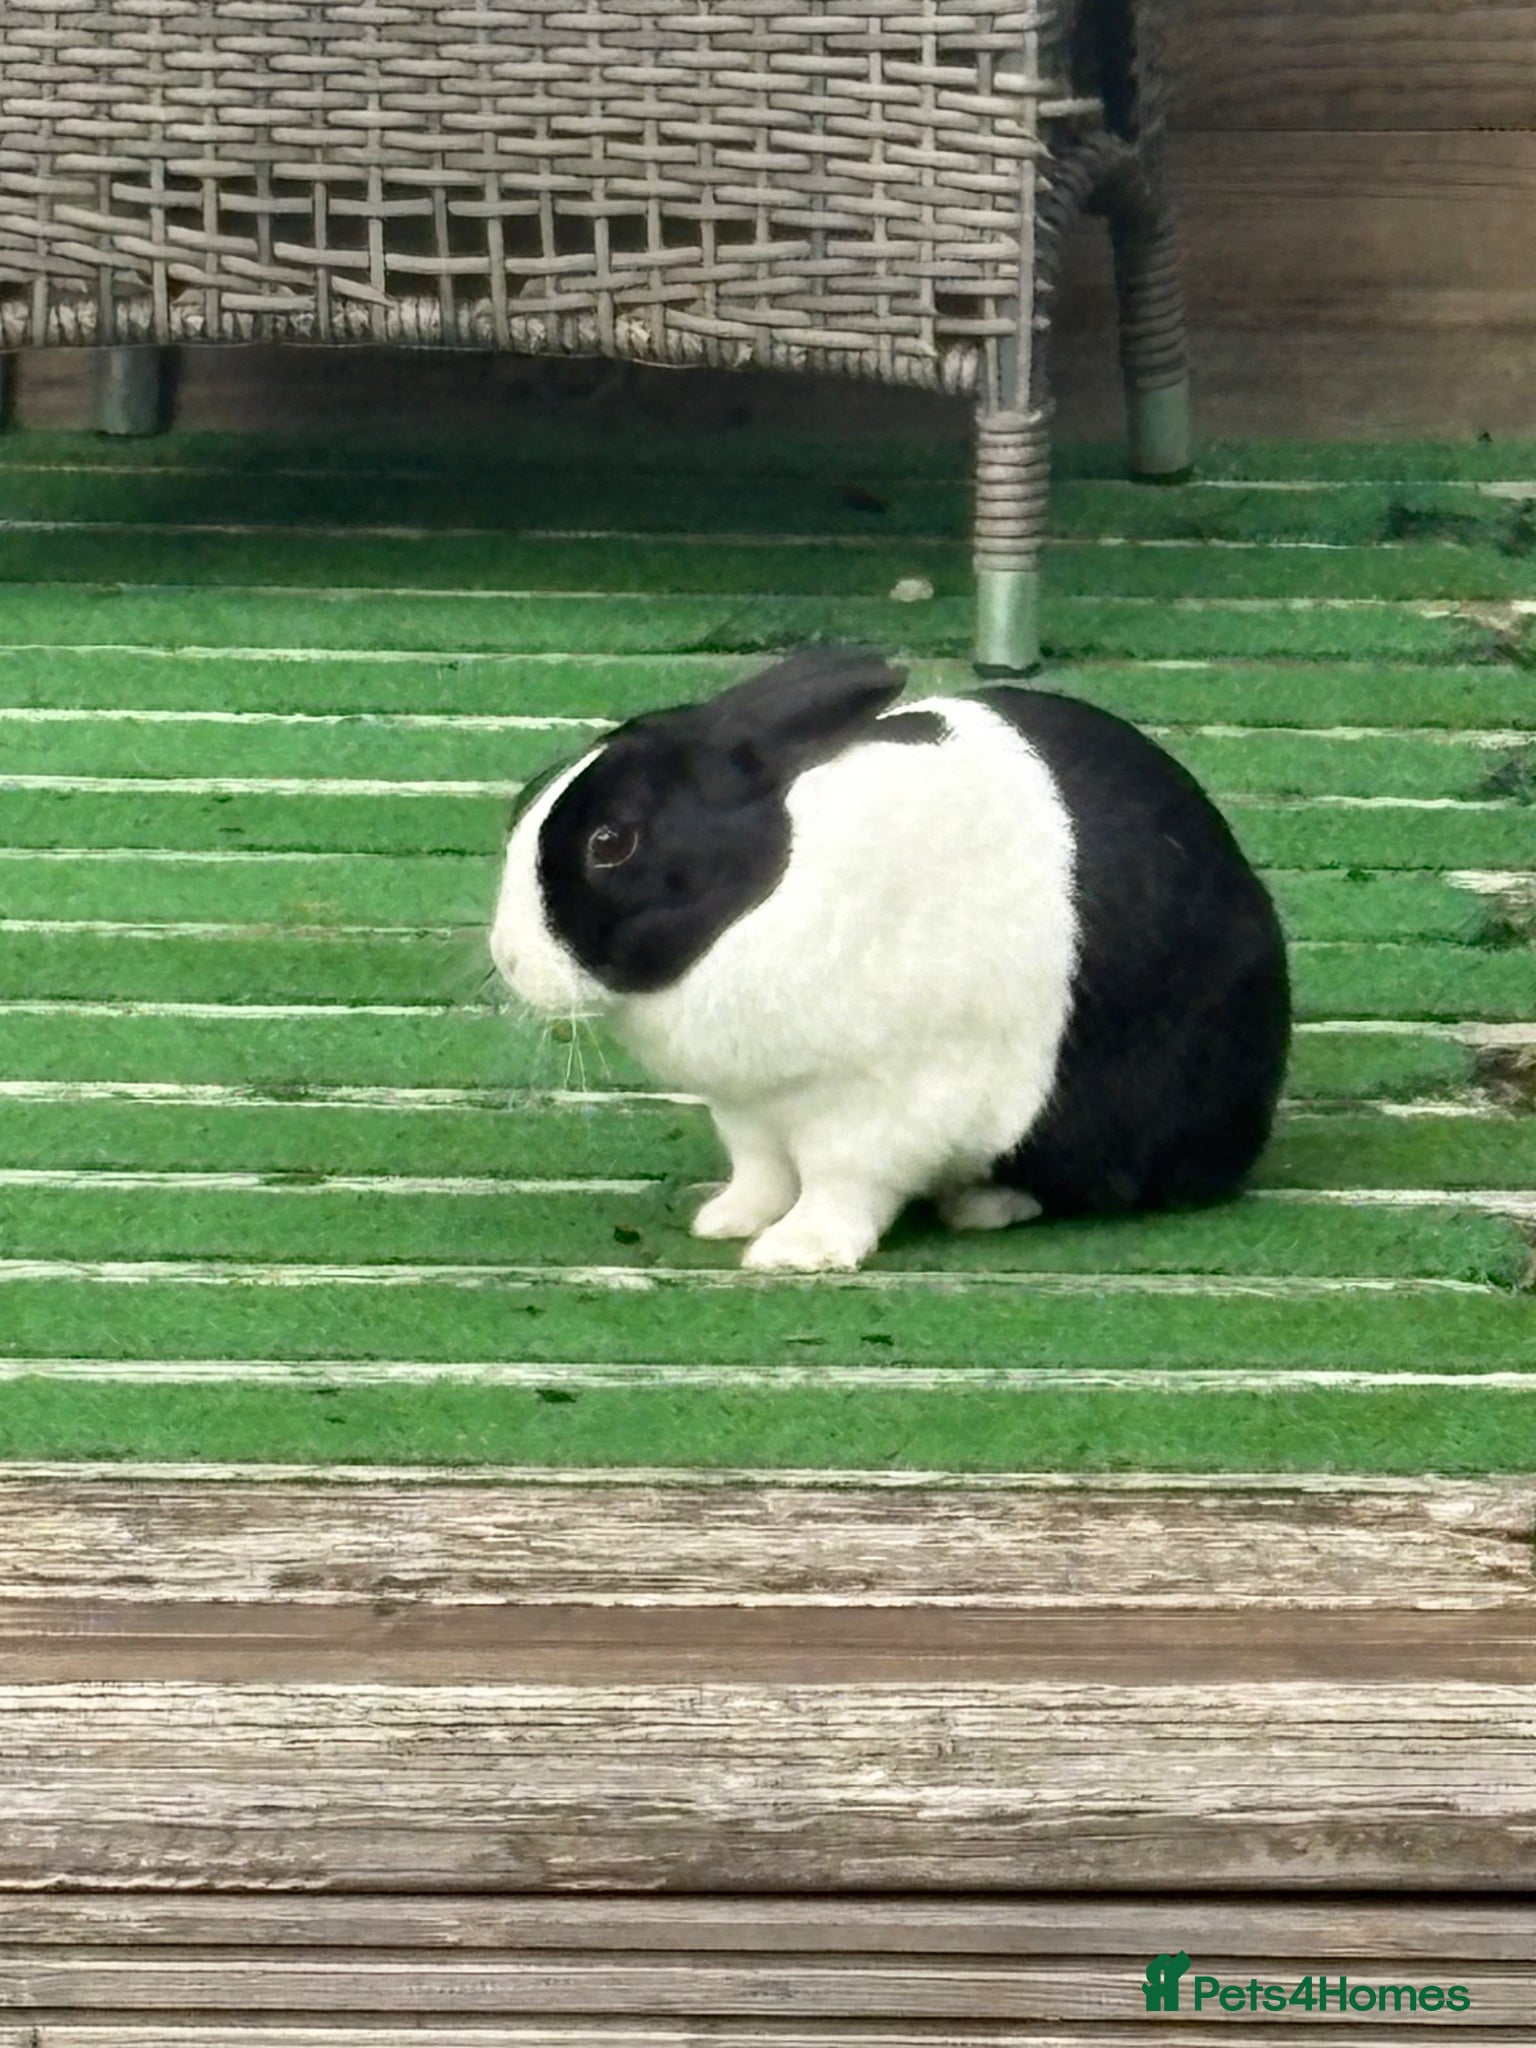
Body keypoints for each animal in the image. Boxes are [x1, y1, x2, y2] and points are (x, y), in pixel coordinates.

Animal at [490, 646, 1291, 1272]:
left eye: (612, 842)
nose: (509, 957)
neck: (762, 896)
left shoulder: (877, 1110)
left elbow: (841, 1186)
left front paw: (796, 1253)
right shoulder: (749, 1112)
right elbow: (761, 1174)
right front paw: (728, 1221)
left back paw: (986, 1204)